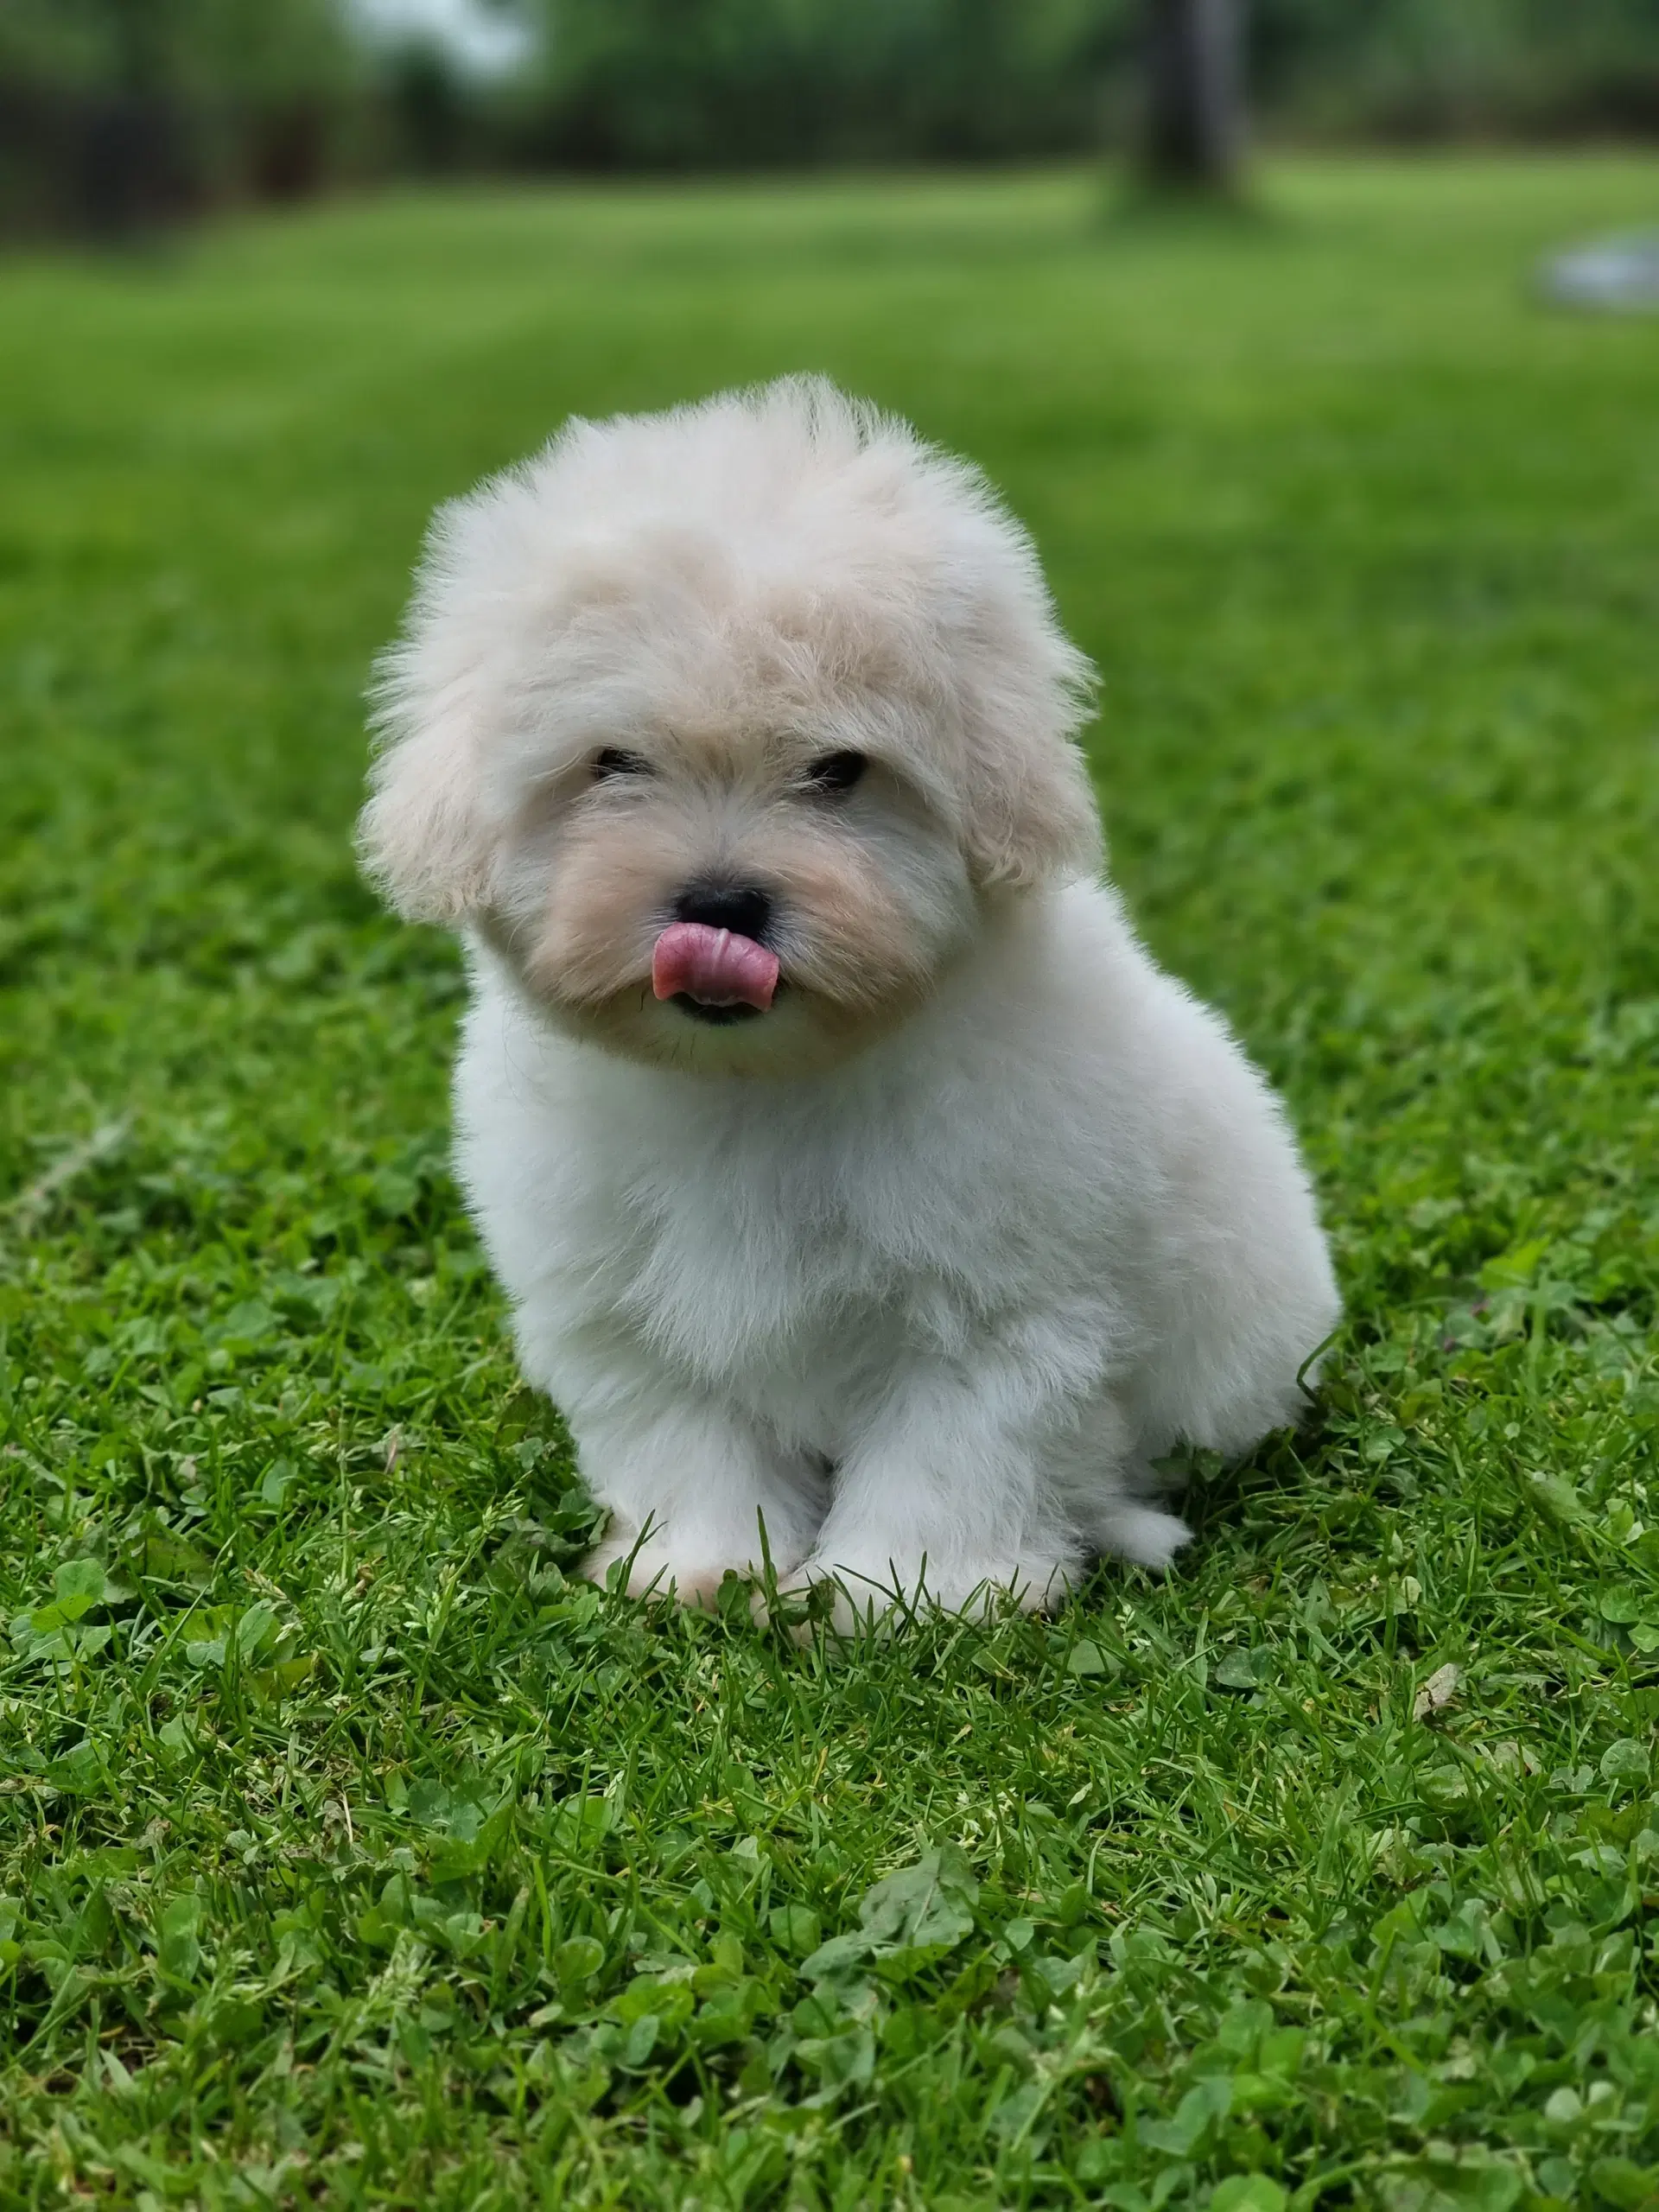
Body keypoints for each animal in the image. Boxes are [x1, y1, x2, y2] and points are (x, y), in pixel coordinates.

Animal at [360, 376, 1336, 1628]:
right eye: (613, 762)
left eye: (840, 771)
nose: (721, 903)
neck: (753, 1083)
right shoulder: (620, 1304)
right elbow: (682, 1434)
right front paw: (701, 1565)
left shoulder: (998, 1308)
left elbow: (956, 1448)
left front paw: (906, 1593)